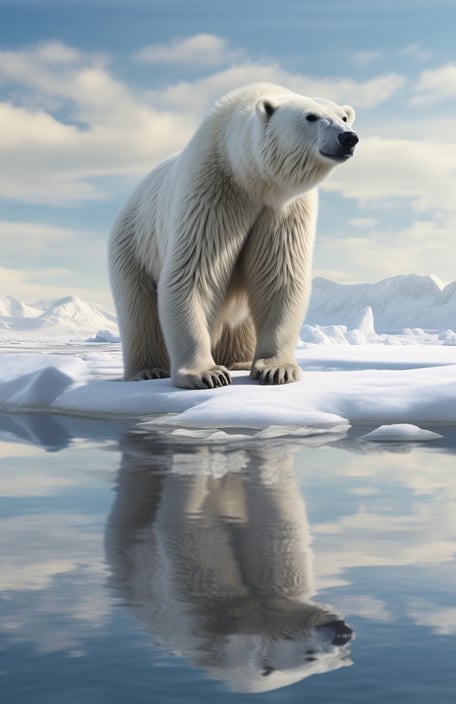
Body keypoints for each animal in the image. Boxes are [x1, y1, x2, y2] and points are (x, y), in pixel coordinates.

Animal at [108, 84, 358, 390]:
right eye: (311, 116)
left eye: (343, 117)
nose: (348, 138)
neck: (248, 176)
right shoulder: (212, 193)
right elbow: (193, 274)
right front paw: (206, 374)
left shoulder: (284, 210)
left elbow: (280, 276)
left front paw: (276, 369)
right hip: (133, 245)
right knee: (138, 312)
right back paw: (148, 370)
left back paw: (239, 360)